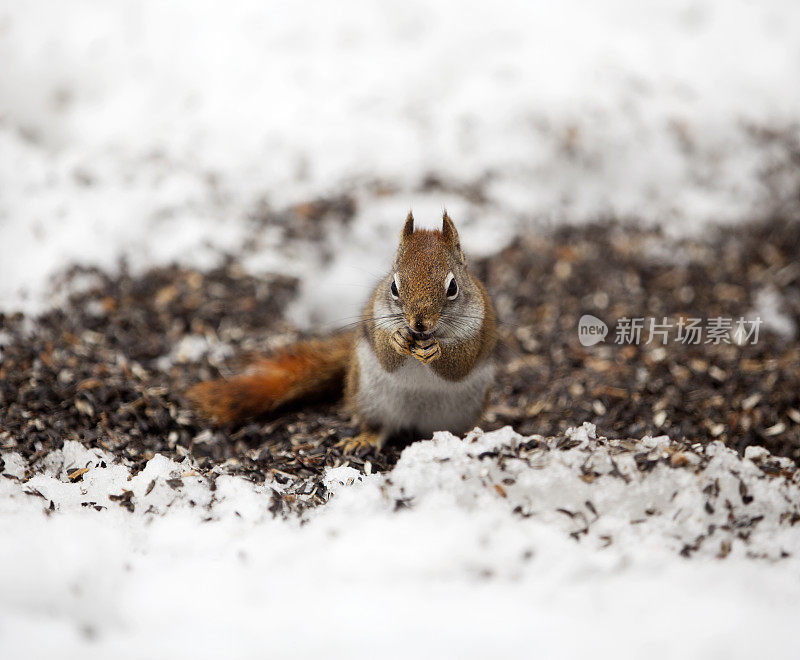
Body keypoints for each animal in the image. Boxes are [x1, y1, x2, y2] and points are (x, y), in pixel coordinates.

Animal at [190, 209, 496, 452]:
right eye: (394, 286)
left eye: (453, 287)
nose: (418, 323)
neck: (422, 336)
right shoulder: (376, 321)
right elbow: (386, 355)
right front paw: (396, 339)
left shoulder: (478, 334)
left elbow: (459, 364)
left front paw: (436, 350)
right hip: (368, 396)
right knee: (380, 425)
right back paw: (365, 439)